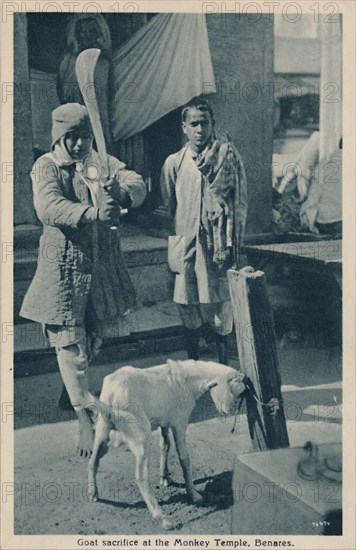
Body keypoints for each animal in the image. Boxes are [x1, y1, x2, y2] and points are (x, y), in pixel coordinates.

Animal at [87, 360, 246, 532]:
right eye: (235, 389)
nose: (228, 410)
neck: (186, 379)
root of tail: (113, 396)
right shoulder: (179, 422)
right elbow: (184, 458)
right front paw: (194, 495)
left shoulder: (163, 422)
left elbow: (165, 446)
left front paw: (165, 479)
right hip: (141, 437)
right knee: (141, 477)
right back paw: (162, 518)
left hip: (102, 432)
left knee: (93, 461)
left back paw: (93, 493)